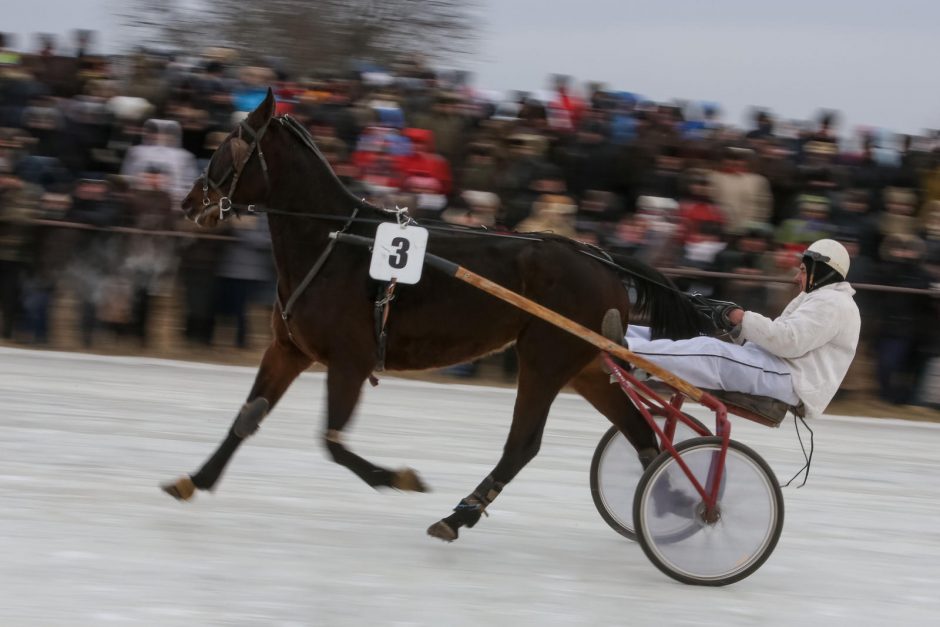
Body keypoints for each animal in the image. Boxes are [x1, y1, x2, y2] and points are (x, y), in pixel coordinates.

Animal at [163, 89, 704, 544]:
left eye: (226, 148)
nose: (189, 202)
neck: (332, 241)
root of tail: (603, 260)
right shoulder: (288, 349)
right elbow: (246, 418)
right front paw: (193, 479)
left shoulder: (349, 361)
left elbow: (333, 442)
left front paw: (401, 478)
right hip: (586, 366)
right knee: (643, 436)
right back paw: (675, 501)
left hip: (545, 359)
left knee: (523, 445)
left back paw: (458, 515)